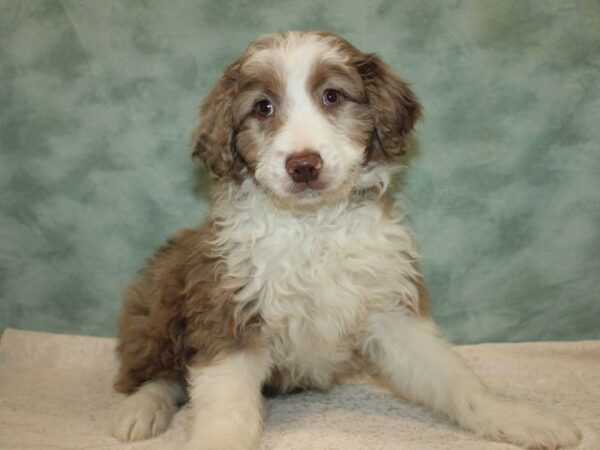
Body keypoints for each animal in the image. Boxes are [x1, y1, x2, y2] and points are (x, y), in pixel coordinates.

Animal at [111, 30, 580, 450]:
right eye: (263, 107)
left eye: (332, 97)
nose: (303, 165)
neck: (313, 225)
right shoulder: (228, 306)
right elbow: (225, 403)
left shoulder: (390, 308)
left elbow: (453, 377)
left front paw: (516, 417)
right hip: (161, 290)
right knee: (157, 375)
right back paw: (140, 410)